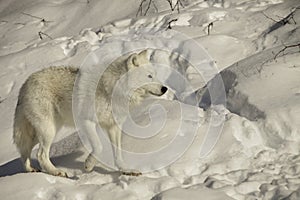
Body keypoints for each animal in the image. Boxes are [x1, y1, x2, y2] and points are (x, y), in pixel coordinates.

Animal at [12, 49, 168, 177]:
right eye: (149, 76)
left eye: (154, 75)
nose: (165, 88)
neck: (111, 89)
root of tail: (24, 85)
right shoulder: (87, 122)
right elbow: (98, 147)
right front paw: (88, 165)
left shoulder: (113, 127)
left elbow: (118, 153)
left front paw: (125, 170)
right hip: (48, 131)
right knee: (40, 155)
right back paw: (57, 172)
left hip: (43, 132)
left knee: (24, 150)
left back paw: (30, 170)